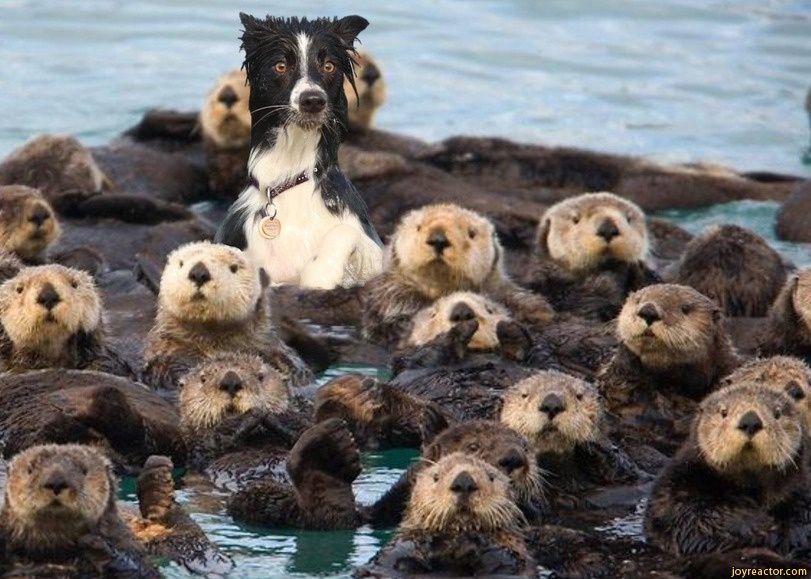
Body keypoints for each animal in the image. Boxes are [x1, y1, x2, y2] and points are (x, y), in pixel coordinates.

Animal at [0, 444, 157, 577]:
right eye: (30, 469)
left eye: (84, 470)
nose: (56, 482)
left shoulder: (128, 544)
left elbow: (144, 571)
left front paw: (95, 546)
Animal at [355, 452, 535, 578]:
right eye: (436, 477)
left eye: (491, 477)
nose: (464, 481)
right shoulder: (392, 554)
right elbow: (396, 553)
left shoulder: (515, 557)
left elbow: (504, 558)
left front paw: (472, 542)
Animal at [644, 383, 811, 556]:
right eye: (723, 412)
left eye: (777, 413)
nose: (750, 421)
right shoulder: (676, 489)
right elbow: (695, 519)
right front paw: (757, 526)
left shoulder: (800, 488)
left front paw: (793, 532)